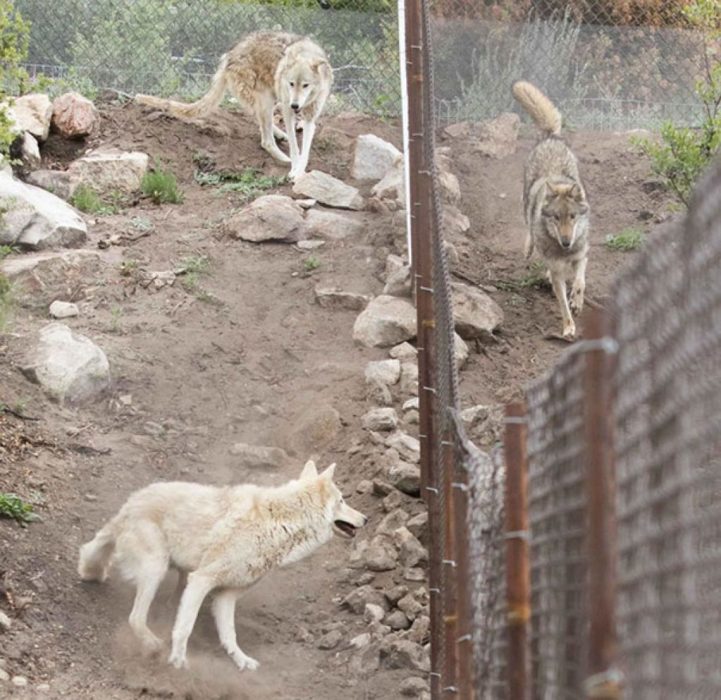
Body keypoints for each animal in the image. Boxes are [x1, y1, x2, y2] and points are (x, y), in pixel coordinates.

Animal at [77, 460, 366, 672]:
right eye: (342, 500)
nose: (365, 518)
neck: (278, 523)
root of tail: (130, 504)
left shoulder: (227, 594)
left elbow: (229, 635)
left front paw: (242, 661)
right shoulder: (202, 580)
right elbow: (185, 627)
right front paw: (178, 662)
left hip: (174, 569)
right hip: (157, 569)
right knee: (136, 617)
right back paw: (153, 645)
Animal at [134, 32, 332, 180]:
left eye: (305, 85)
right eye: (291, 84)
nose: (295, 105)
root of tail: (228, 56)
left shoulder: (309, 116)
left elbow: (305, 150)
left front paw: (299, 171)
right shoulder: (287, 109)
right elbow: (295, 148)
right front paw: (293, 168)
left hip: (268, 100)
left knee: (260, 122)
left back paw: (279, 135)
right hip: (267, 100)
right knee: (265, 140)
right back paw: (284, 158)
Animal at [510, 80, 588, 340]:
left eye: (572, 217)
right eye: (555, 218)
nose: (566, 241)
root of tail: (550, 136)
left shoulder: (581, 255)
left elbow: (580, 281)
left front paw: (577, 301)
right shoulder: (557, 273)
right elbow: (562, 303)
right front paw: (568, 327)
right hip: (527, 202)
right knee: (527, 226)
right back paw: (528, 247)